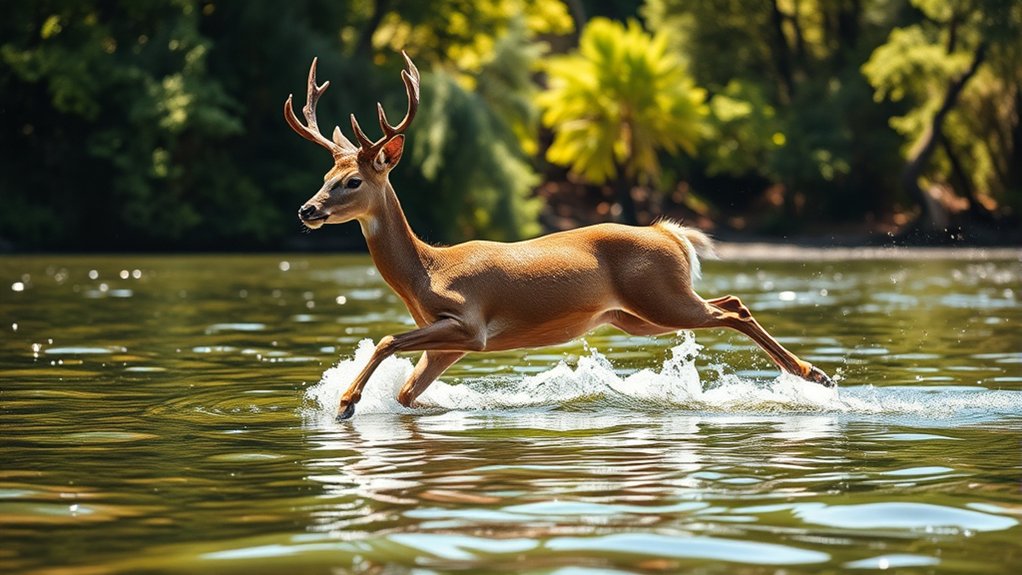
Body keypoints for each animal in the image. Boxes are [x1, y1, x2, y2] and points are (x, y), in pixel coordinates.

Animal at [285, 53, 835, 421]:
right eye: (325, 174)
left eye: (352, 182)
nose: (307, 209)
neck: (427, 272)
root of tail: (671, 235)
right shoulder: (449, 344)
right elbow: (405, 392)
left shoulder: (470, 326)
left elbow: (386, 338)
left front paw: (345, 402)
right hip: (637, 316)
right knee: (729, 302)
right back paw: (811, 375)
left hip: (660, 299)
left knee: (733, 310)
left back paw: (815, 374)